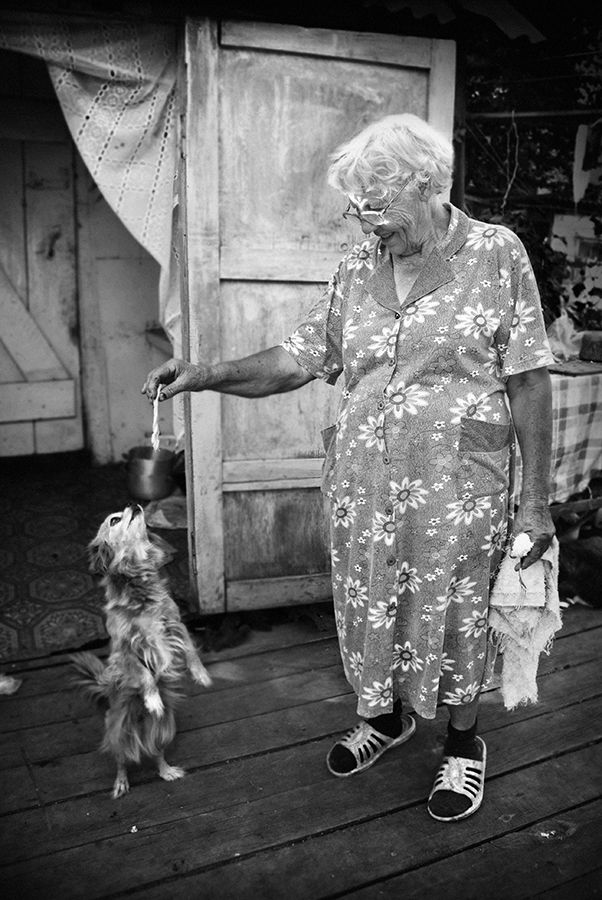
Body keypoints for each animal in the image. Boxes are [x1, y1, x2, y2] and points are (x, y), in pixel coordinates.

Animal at [71, 503, 211, 798]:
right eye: (114, 520)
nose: (134, 505)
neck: (139, 582)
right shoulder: (125, 650)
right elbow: (145, 676)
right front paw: (153, 699)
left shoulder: (175, 625)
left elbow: (191, 651)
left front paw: (201, 675)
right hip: (117, 734)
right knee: (121, 760)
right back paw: (121, 782)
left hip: (165, 729)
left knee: (157, 753)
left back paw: (166, 770)